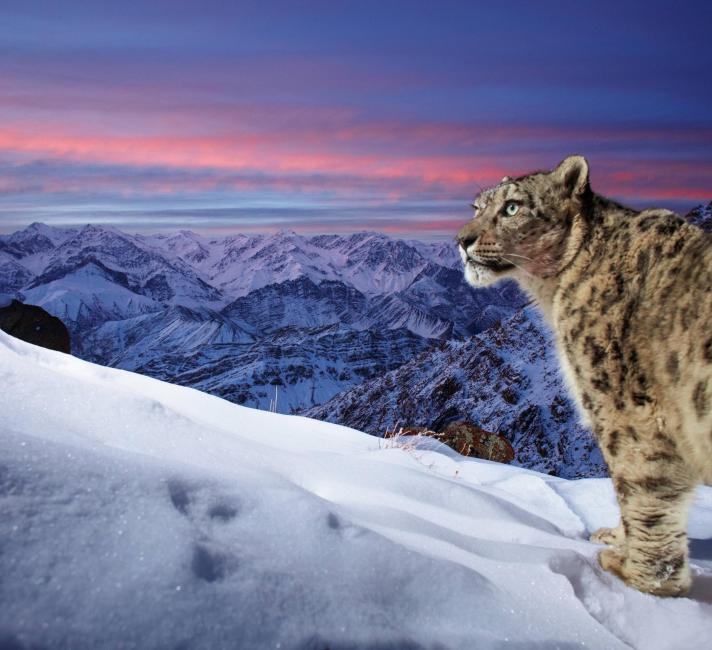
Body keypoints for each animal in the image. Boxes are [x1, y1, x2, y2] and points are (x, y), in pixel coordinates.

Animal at [456, 156, 712, 592]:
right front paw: (617, 539)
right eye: (477, 207)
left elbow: (640, 488)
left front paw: (638, 576)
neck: (553, 293)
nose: (462, 240)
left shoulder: (624, 410)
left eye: (512, 207)